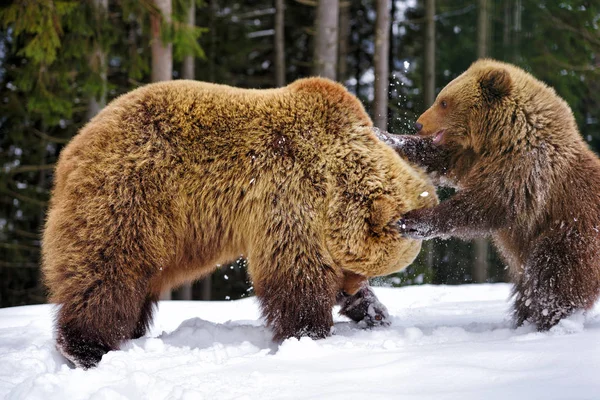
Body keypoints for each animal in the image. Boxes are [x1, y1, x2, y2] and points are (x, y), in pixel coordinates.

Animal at [42, 77, 436, 368]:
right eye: (360, 267)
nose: (353, 289)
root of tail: (74, 146)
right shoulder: (289, 193)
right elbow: (296, 273)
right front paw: (309, 333)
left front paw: (374, 311)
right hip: (134, 194)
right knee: (108, 269)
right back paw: (86, 349)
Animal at [380, 58, 600, 332]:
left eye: (444, 102)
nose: (419, 124)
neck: (500, 139)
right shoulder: (472, 155)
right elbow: (438, 157)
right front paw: (385, 137)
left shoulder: (525, 171)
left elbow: (485, 204)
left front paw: (412, 221)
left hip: (571, 233)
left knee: (554, 277)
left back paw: (546, 320)